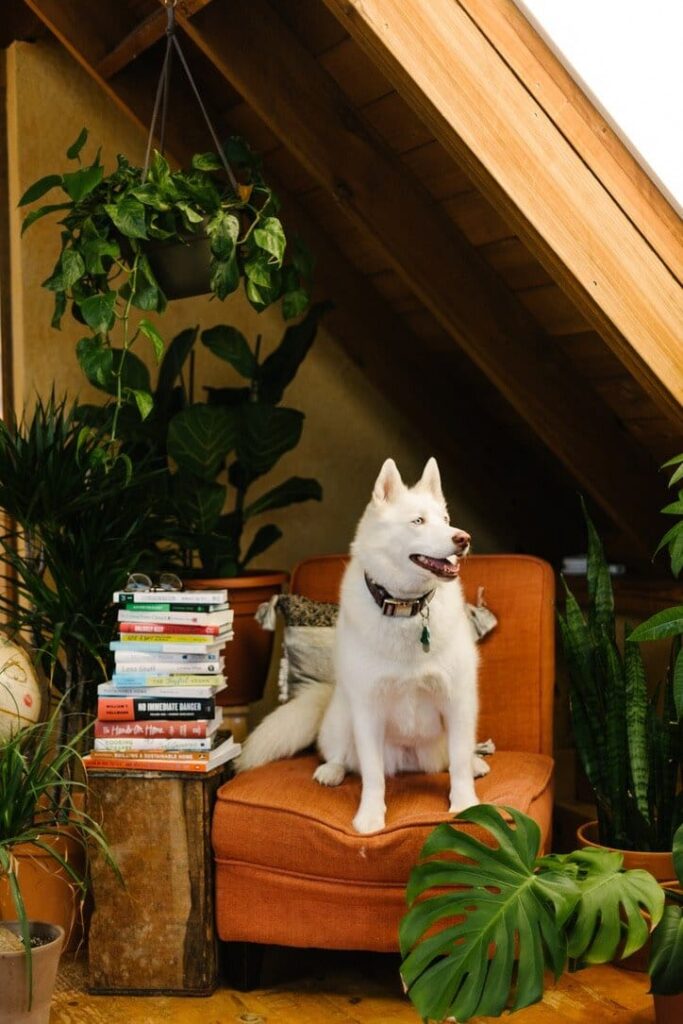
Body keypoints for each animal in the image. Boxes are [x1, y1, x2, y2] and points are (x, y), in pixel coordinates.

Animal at [237, 460, 483, 835]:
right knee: (342, 756)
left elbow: (457, 762)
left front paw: (466, 803)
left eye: (445, 519)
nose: (463, 539)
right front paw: (370, 816)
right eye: (418, 521)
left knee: (457, 755)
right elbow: (372, 774)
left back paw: (477, 762)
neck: (406, 609)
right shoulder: (368, 710)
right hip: (343, 715)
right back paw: (331, 771)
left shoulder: (458, 700)